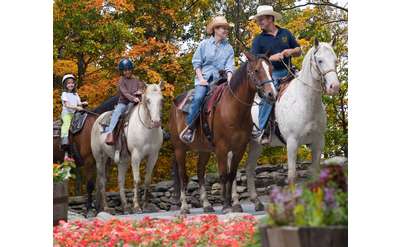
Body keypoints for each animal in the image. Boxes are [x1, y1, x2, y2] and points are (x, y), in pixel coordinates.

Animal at [91, 82, 163, 213]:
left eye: (161, 100)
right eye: (148, 100)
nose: (156, 122)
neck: (146, 129)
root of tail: (98, 119)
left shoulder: (153, 156)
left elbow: (147, 180)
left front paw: (146, 206)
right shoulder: (136, 156)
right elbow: (137, 180)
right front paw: (136, 206)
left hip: (122, 161)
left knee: (120, 181)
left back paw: (125, 206)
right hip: (100, 158)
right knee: (102, 181)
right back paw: (106, 207)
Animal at [169, 51, 276, 213]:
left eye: (271, 69)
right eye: (257, 70)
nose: (272, 94)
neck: (233, 108)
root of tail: (175, 104)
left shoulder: (239, 148)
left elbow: (231, 175)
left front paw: (232, 205)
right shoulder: (222, 148)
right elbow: (223, 175)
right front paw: (226, 206)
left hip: (204, 150)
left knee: (200, 172)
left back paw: (207, 205)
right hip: (179, 149)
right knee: (183, 176)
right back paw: (184, 207)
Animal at [234, 39, 340, 210]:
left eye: (336, 60)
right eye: (320, 60)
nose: (334, 87)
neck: (305, 100)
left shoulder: (318, 142)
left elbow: (315, 174)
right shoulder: (292, 142)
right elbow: (291, 175)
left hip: (256, 145)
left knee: (249, 169)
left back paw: (256, 201)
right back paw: (236, 203)